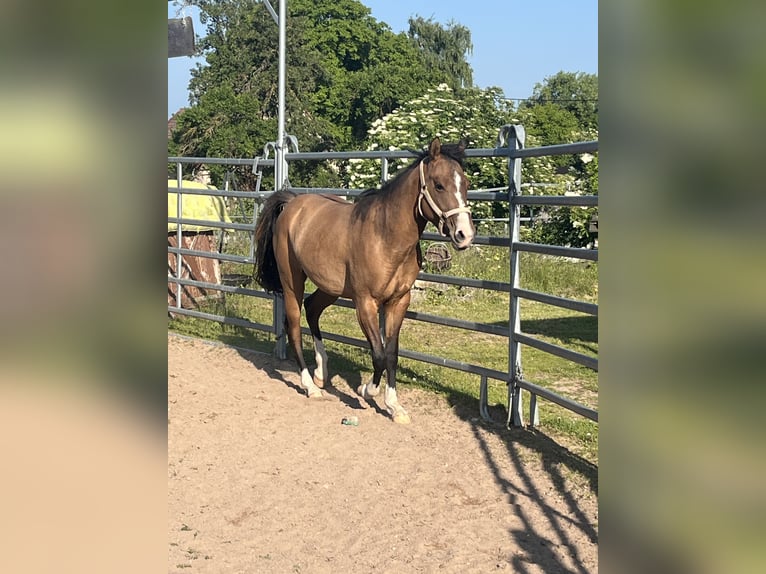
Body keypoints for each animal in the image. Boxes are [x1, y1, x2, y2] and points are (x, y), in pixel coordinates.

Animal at [253, 138, 475, 423]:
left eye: (465, 183)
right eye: (439, 184)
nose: (465, 235)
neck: (385, 236)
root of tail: (292, 205)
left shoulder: (398, 302)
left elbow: (391, 354)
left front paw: (395, 407)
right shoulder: (365, 303)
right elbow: (378, 354)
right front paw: (366, 390)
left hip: (330, 287)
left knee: (312, 309)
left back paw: (321, 373)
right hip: (292, 281)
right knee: (293, 326)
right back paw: (311, 387)